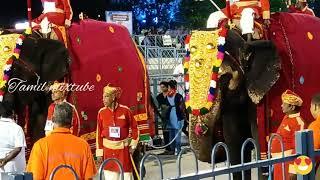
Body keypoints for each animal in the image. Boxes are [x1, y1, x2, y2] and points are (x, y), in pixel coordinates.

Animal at [186, 13, 320, 180]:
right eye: (185, 76)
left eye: (225, 77)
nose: (201, 128)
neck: (246, 38)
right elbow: (235, 148)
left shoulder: (273, 92)